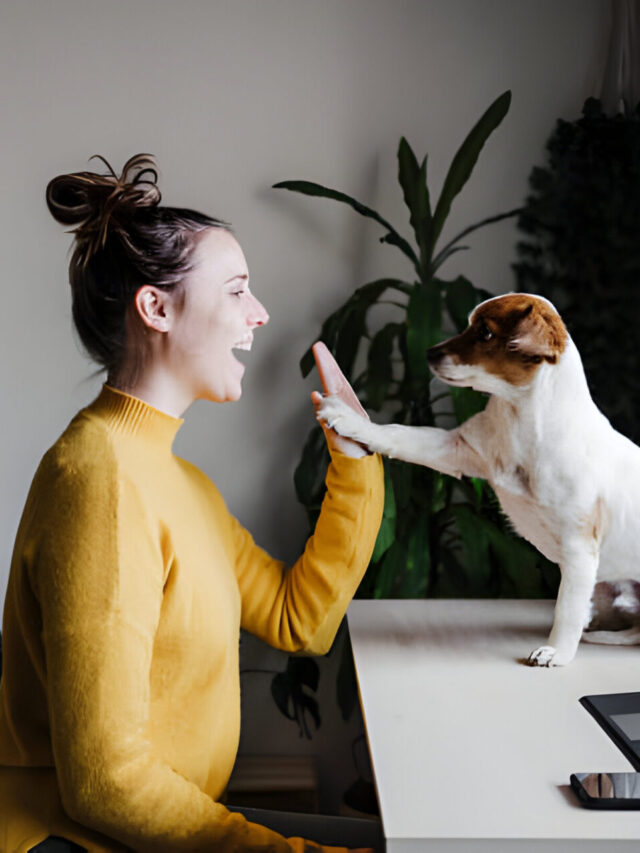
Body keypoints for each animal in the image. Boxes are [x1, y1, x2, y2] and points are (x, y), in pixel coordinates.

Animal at [318, 292, 640, 664]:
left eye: (485, 333)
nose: (428, 352)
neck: (521, 420)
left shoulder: (578, 548)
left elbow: (566, 609)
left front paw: (556, 652)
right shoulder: (456, 449)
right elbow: (397, 434)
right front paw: (349, 419)